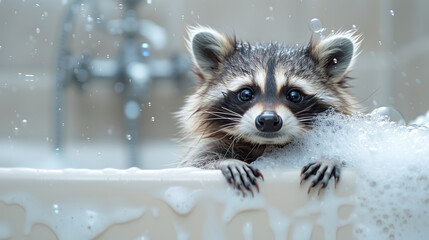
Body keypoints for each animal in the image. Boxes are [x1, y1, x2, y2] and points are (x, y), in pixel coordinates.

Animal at [177, 26, 362, 196]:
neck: (265, 146)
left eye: (294, 95)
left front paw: (331, 159)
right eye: (246, 93)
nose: (268, 120)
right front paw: (226, 162)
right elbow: (197, 162)